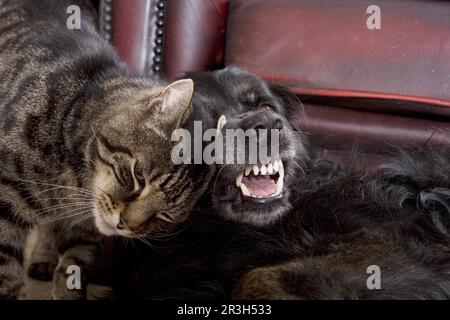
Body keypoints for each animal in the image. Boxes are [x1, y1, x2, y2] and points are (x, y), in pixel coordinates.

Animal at [0, 0, 211, 300]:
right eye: (138, 176)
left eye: (165, 216)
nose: (126, 225)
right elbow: (6, 273)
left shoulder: (84, 234)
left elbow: (73, 269)